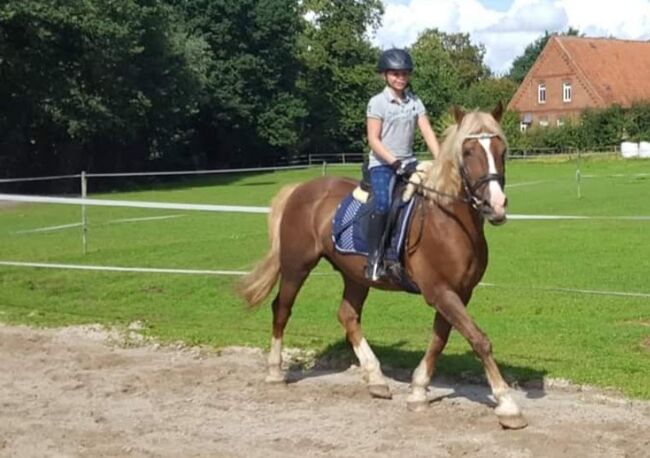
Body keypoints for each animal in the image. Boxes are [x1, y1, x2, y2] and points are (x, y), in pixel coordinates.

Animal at [238, 104, 528, 430]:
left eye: (502, 150)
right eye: (467, 151)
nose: (496, 205)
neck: (448, 221)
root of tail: (300, 188)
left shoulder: (458, 292)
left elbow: (439, 339)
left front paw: (418, 391)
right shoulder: (440, 291)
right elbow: (479, 340)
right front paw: (507, 405)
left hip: (355, 276)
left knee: (347, 315)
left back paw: (375, 378)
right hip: (296, 266)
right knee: (282, 309)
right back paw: (275, 372)